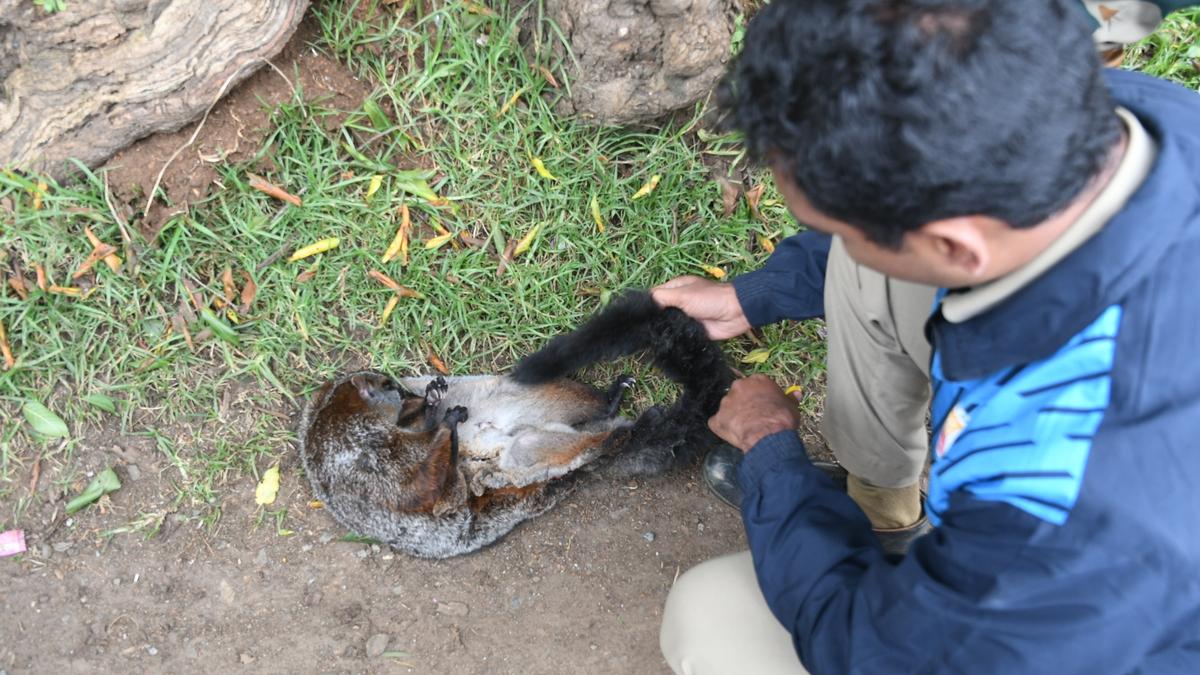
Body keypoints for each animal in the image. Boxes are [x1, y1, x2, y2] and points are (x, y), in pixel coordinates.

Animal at [297, 291, 734, 558]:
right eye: (394, 391)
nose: (412, 395)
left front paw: (435, 407)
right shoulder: (365, 463)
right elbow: (426, 491)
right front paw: (441, 419)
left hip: (527, 390)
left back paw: (609, 407)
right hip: (534, 459)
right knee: (565, 447)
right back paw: (617, 434)